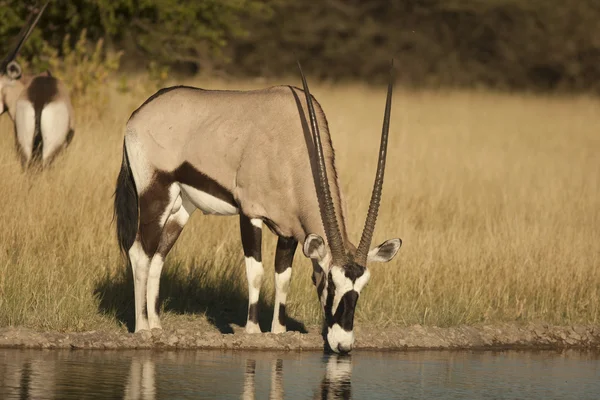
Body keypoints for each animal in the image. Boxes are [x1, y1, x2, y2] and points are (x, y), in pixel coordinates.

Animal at [112, 61, 404, 352]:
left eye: (362, 286)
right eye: (329, 282)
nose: (342, 344)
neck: (292, 144)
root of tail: (138, 114)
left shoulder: (289, 230)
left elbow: (282, 278)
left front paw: (279, 331)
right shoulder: (250, 214)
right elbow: (256, 272)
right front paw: (253, 331)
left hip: (180, 206)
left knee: (157, 258)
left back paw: (156, 327)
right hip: (155, 195)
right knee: (140, 253)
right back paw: (142, 328)